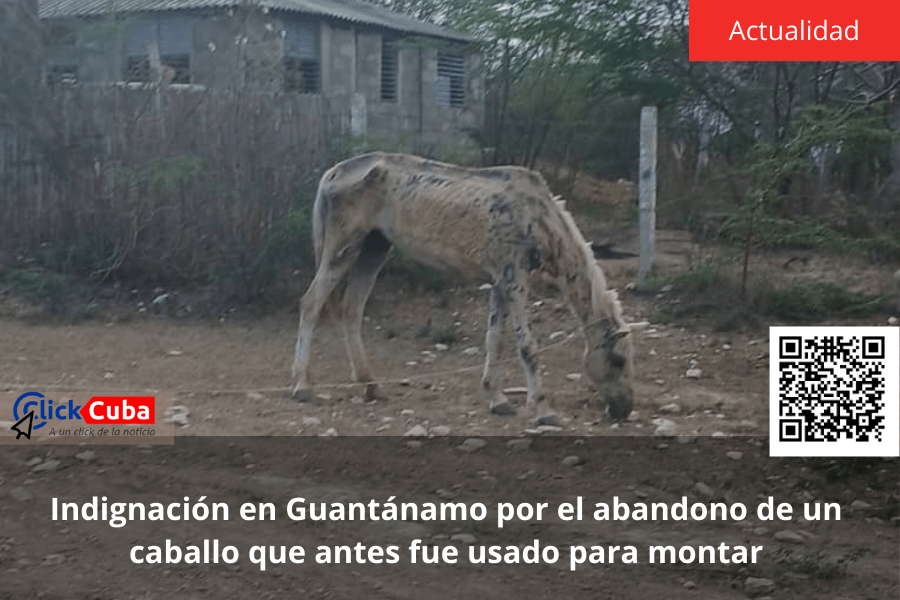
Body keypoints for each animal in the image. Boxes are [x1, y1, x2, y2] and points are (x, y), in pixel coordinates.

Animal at [291, 153, 634, 426]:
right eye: (618, 360)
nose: (625, 409)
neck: (539, 221)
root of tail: (332, 173)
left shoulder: (499, 284)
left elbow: (495, 341)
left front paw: (498, 400)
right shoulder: (514, 281)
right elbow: (527, 347)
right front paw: (543, 410)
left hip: (374, 249)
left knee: (352, 308)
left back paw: (370, 385)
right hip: (342, 250)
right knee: (311, 304)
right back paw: (302, 386)